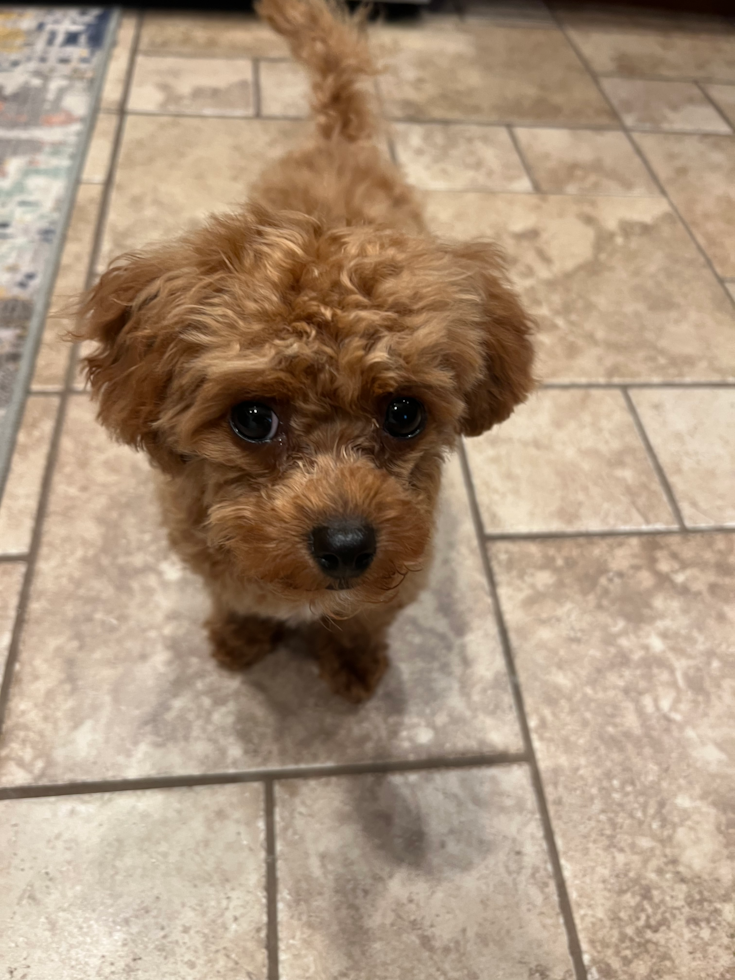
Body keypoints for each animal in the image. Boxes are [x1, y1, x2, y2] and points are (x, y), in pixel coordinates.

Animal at [76, 0, 536, 704]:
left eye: (405, 414)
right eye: (252, 419)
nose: (346, 546)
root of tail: (338, 136)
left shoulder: (400, 574)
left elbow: (361, 620)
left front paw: (352, 661)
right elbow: (236, 598)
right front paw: (240, 637)